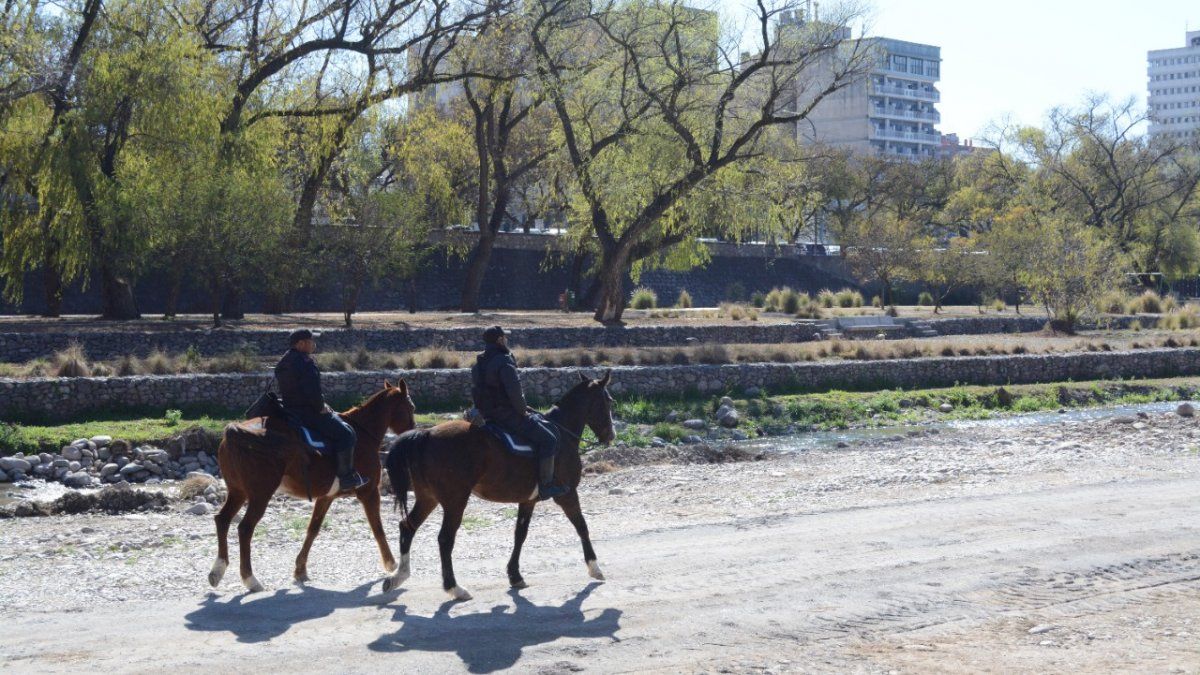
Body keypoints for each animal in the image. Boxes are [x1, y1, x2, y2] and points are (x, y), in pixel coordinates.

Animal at [213, 381, 420, 590]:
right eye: (411, 407)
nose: (412, 432)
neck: (363, 433)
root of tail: (235, 432)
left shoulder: (326, 497)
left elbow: (313, 530)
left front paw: (300, 570)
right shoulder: (369, 493)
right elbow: (377, 528)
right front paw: (391, 564)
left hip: (238, 492)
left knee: (222, 520)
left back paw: (217, 570)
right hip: (259, 496)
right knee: (245, 528)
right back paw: (250, 579)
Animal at [379, 369, 614, 595]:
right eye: (608, 400)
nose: (611, 435)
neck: (561, 433)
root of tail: (426, 434)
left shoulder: (528, 501)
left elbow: (520, 534)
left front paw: (515, 575)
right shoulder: (567, 494)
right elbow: (582, 526)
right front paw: (595, 567)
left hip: (428, 498)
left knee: (407, 527)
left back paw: (398, 576)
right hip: (455, 502)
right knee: (444, 539)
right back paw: (454, 587)